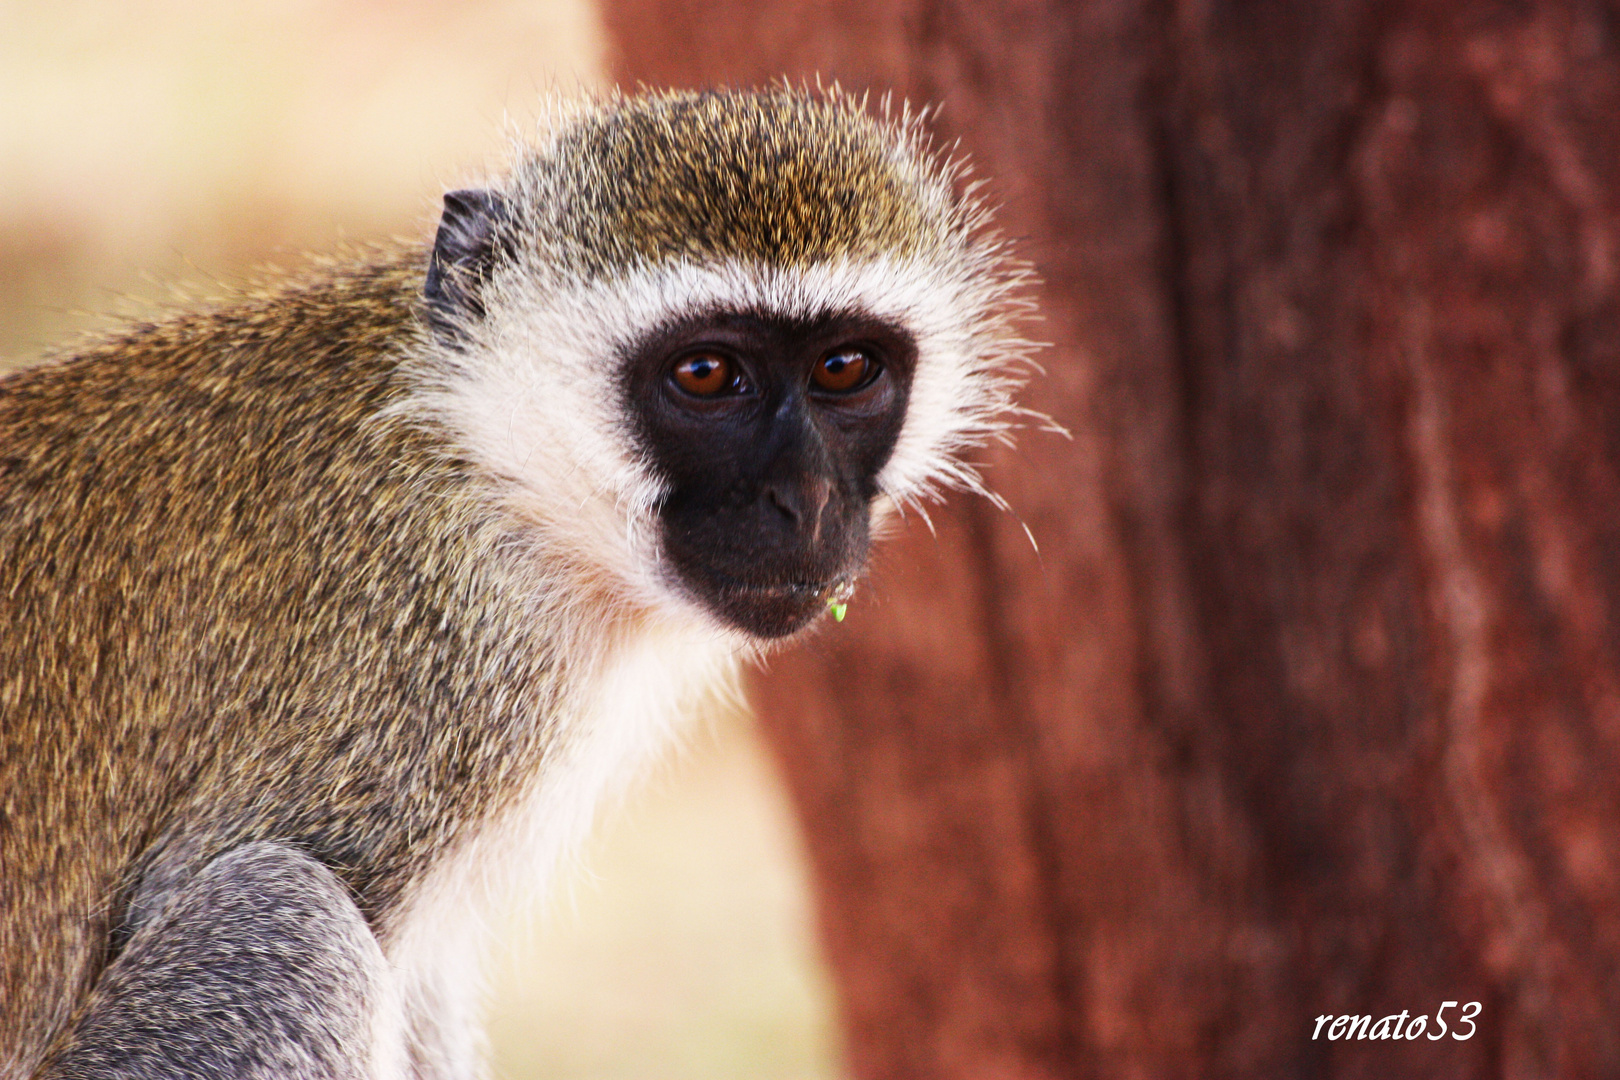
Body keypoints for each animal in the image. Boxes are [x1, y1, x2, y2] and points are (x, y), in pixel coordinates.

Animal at [0, 88, 1036, 1075]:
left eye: (846, 367)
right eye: (706, 374)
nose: (806, 499)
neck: (492, 462)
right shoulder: (430, 660)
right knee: (287, 911)